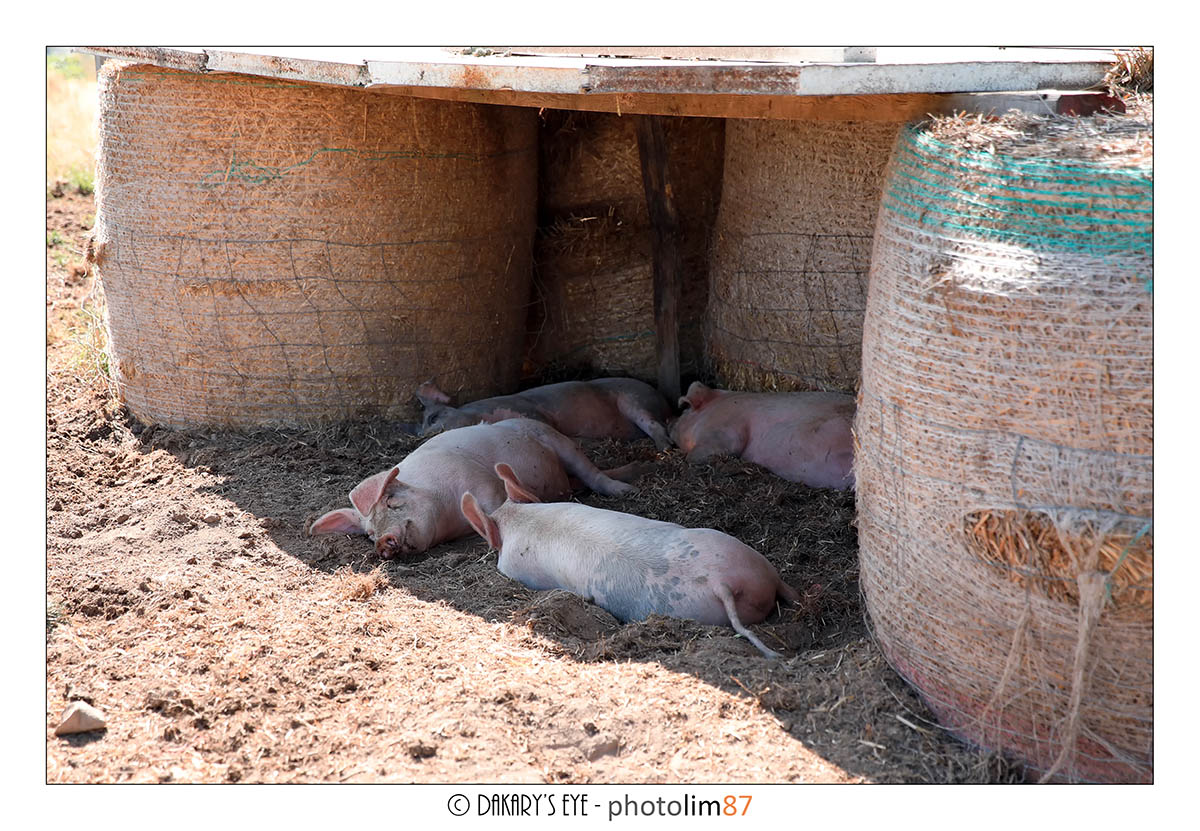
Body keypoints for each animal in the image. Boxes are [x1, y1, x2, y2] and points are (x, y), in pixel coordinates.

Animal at [309, 418, 637, 559]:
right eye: (368, 534)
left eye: (391, 501)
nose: (382, 542)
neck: (449, 520)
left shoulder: (483, 483)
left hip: (558, 441)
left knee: (592, 472)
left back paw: (625, 489)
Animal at [414, 377, 673, 450]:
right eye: (422, 426)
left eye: (433, 418)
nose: (424, 436)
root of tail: (662, 398)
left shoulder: (529, 411)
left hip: (634, 399)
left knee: (656, 425)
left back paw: (664, 449)